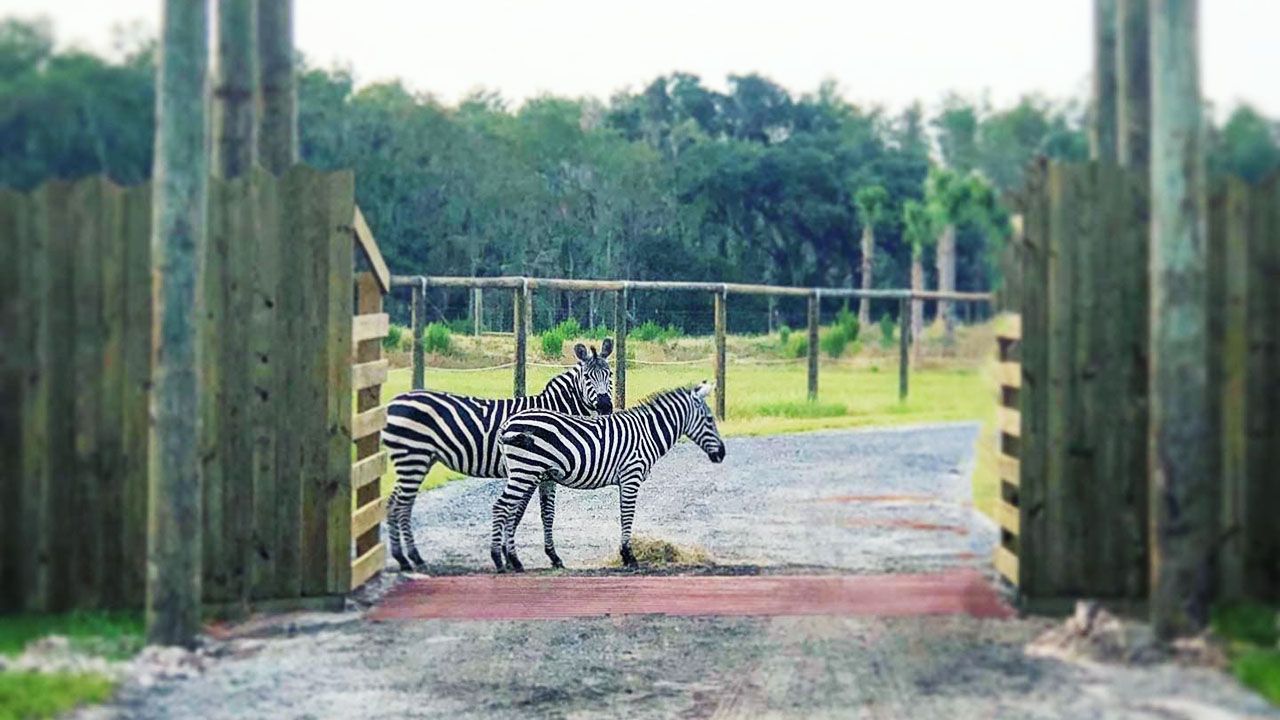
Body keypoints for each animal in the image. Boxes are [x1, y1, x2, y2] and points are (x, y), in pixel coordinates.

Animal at [378, 338, 614, 568]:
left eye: (609, 375)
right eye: (587, 376)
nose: (605, 406)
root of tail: (394, 403)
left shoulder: (545, 474)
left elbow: (547, 512)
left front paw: (551, 556)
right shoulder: (530, 471)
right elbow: (518, 511)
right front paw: (508, 556)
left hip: (417, 460)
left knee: (395, 503)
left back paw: (402, 557)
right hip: (413, 458)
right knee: (403, 505)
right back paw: (413, 557)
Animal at [494, 379, 727, 568]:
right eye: (709, 419)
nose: (722, 454)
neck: (647, 434)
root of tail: (508, 423)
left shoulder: (626, 479)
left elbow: (624, 514)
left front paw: (626, 554)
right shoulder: (631, 475)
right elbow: (628, 514)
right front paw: (628, 556)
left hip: (524, 472)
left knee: (510, 510)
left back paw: (513, 560)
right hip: (525, 471)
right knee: (501, 507)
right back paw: (500, 560)